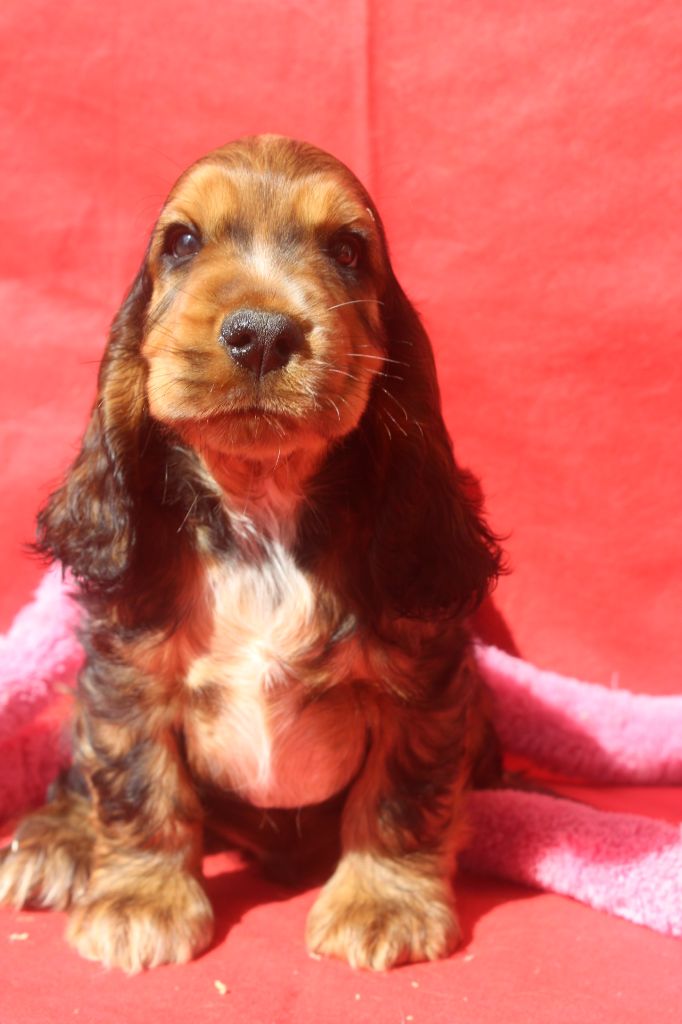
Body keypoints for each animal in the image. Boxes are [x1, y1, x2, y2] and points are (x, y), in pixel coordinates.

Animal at [0, 135, 503, 972]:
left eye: (347, 250)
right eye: (181, 241)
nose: (263, 333)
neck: (263, 510)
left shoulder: (425, 686)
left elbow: (399, 795)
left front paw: (383, 905)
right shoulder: (126, 675)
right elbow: (138, 784)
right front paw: (140, 902)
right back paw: (51, 842)